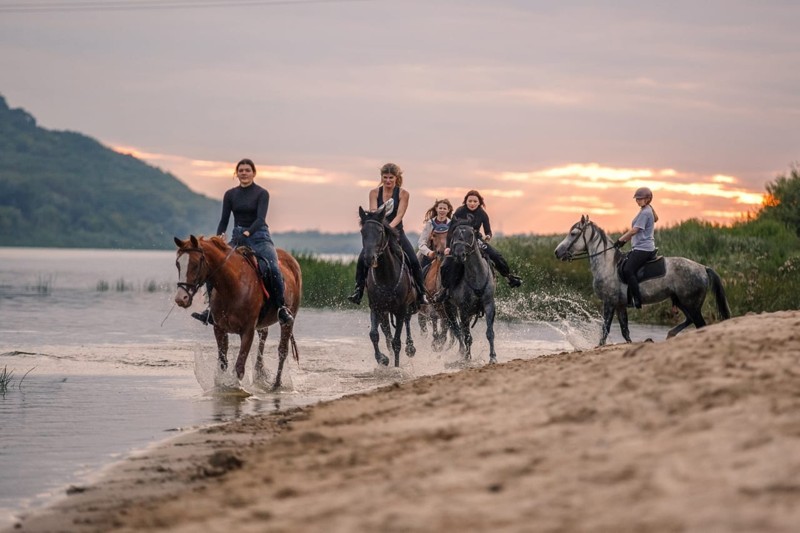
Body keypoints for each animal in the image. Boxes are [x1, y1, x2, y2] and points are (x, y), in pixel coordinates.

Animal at [173, 235, 302, 388]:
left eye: (195, 264)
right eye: (178, 264)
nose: (181, 298)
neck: (232, 287)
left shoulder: (247, 331)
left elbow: (239, 367)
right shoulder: (219, 329)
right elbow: (223, 363)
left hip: (288, 320)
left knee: (282, 350)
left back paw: (276, 384)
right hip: (262, 324)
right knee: (263, 338)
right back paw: (260, 374)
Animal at [358, 200, 418, 366]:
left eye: (380, 231)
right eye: (362, 232)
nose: (369, 258)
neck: (386, 277)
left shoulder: (401, 309)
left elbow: (397, 342)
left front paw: (396, 367)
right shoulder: (376, 307)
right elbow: (375, 334)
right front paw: (383, 359)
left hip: (408, 306)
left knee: (407, 323)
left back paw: (410, 348)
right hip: (385, 312)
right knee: (387, 335)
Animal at [446, 219, 496, 362]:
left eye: (471, 234)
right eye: (454, 234)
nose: (459, 254)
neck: (477, 276)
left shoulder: (489, 304)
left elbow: (490, 333)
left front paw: (493, 357)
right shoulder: (464, 309)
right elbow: (467, 336)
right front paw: (467, 358)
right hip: (449, 308)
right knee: (457, 330)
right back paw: (462, 352)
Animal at [556, 215, 732, 344]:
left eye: (573, 234)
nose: (557, 252)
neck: (607, 265)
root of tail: (703, 268)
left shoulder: (609, 302)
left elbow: (605, 329)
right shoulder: (620, 305)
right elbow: (625, 331)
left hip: (691, 303)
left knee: (699, 324)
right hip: (681, 301)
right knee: (690, 320)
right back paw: (670, 334)